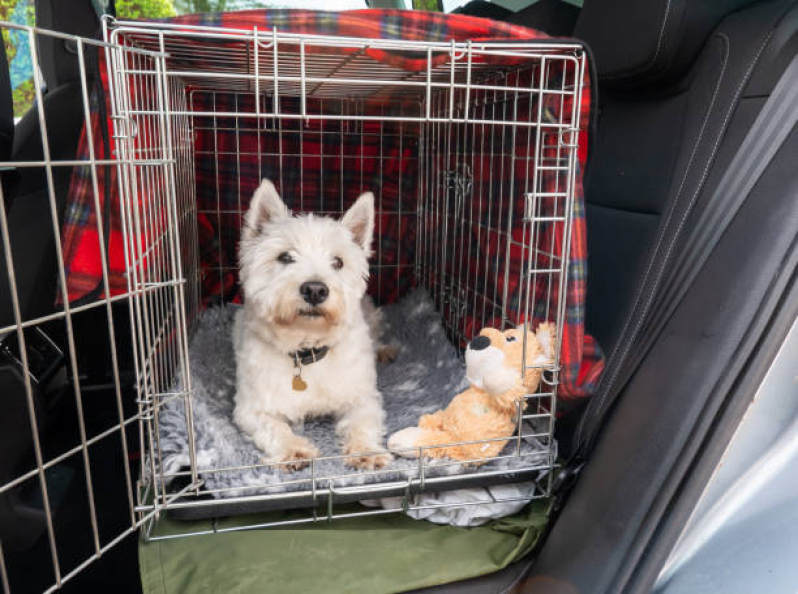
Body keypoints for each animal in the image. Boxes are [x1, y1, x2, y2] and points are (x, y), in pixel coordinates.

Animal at [231, 178, 394, 470]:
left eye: (338, 262)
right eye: (285, 257)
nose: (316, 289)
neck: (306, 349)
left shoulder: (363, 397)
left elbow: (361, 424)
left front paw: (367, 452)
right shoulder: (251, 407)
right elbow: (274, 427)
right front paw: (293, 450)